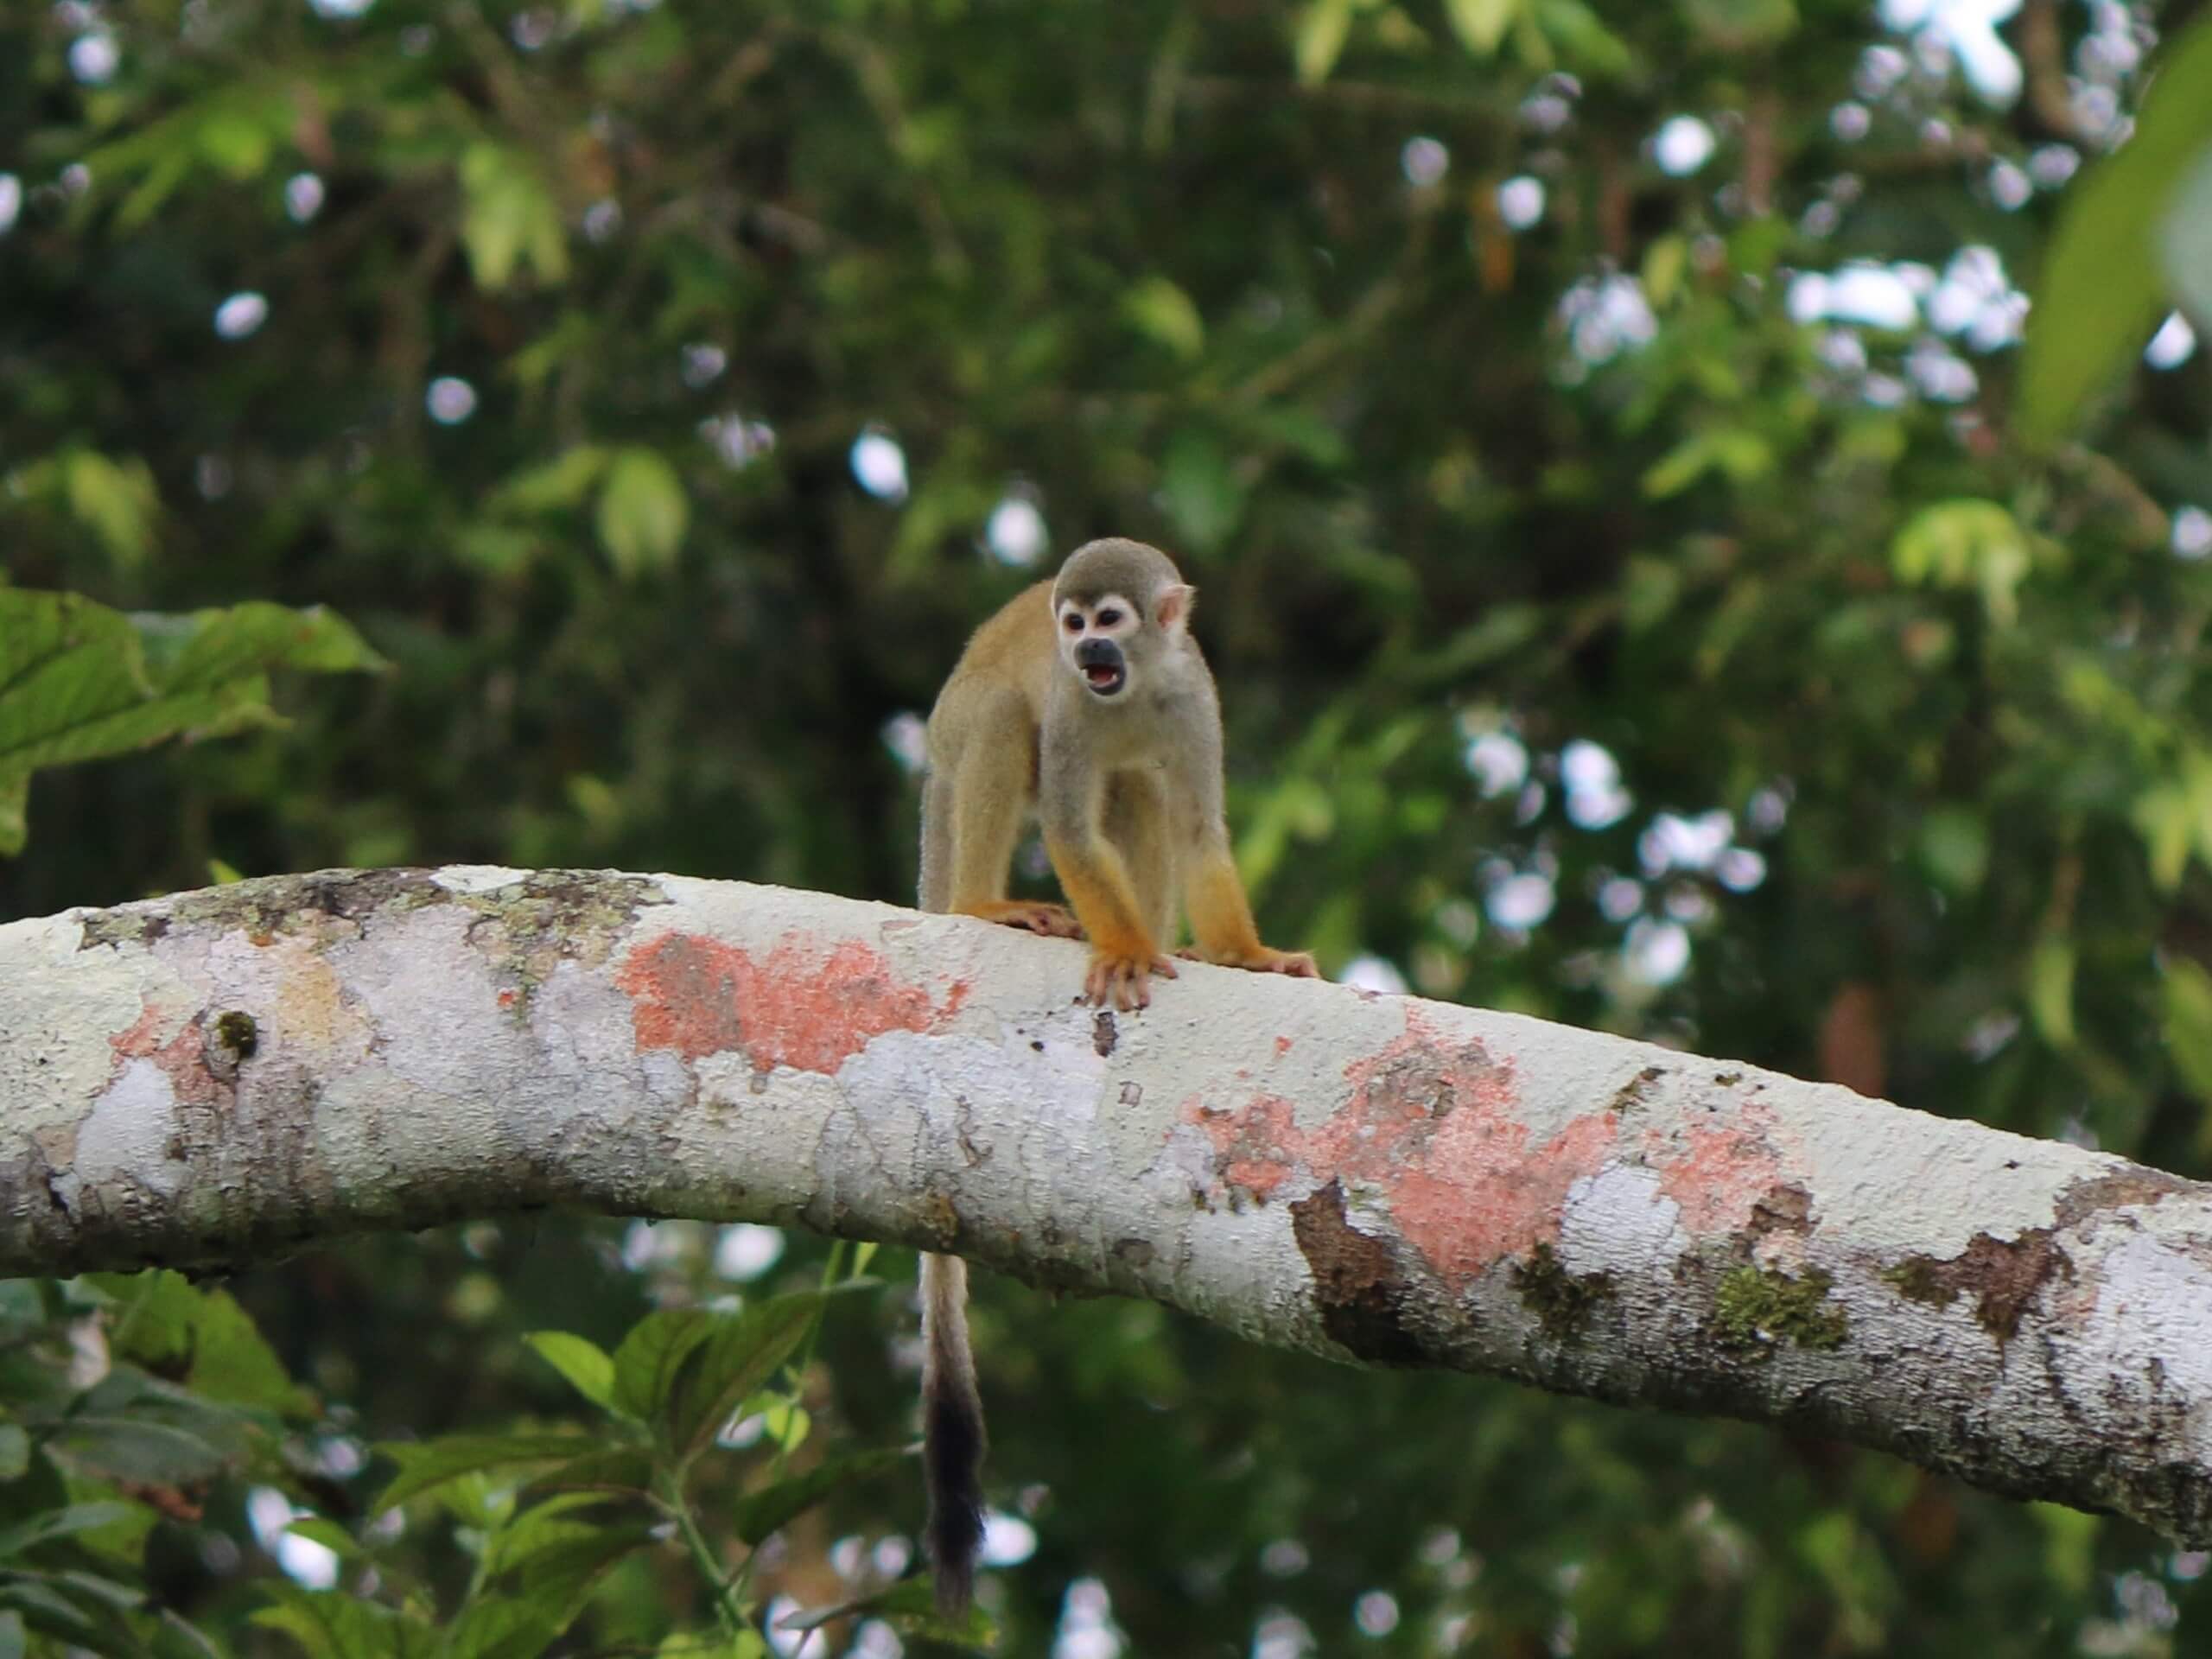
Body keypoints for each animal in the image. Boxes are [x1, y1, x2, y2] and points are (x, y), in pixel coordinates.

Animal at [911, 539, 1309, 1618]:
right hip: (955, 746)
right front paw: (1125, 950)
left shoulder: (1192, 695)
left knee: (1143, 794)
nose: (1084, 648)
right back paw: (986, 905)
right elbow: (1069, 824)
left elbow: (1202, 826)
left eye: (1112, 621)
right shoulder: (1074, 706)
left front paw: (1247, 955)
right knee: (1005, 722)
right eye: (1074, 622)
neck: (1130, 688)